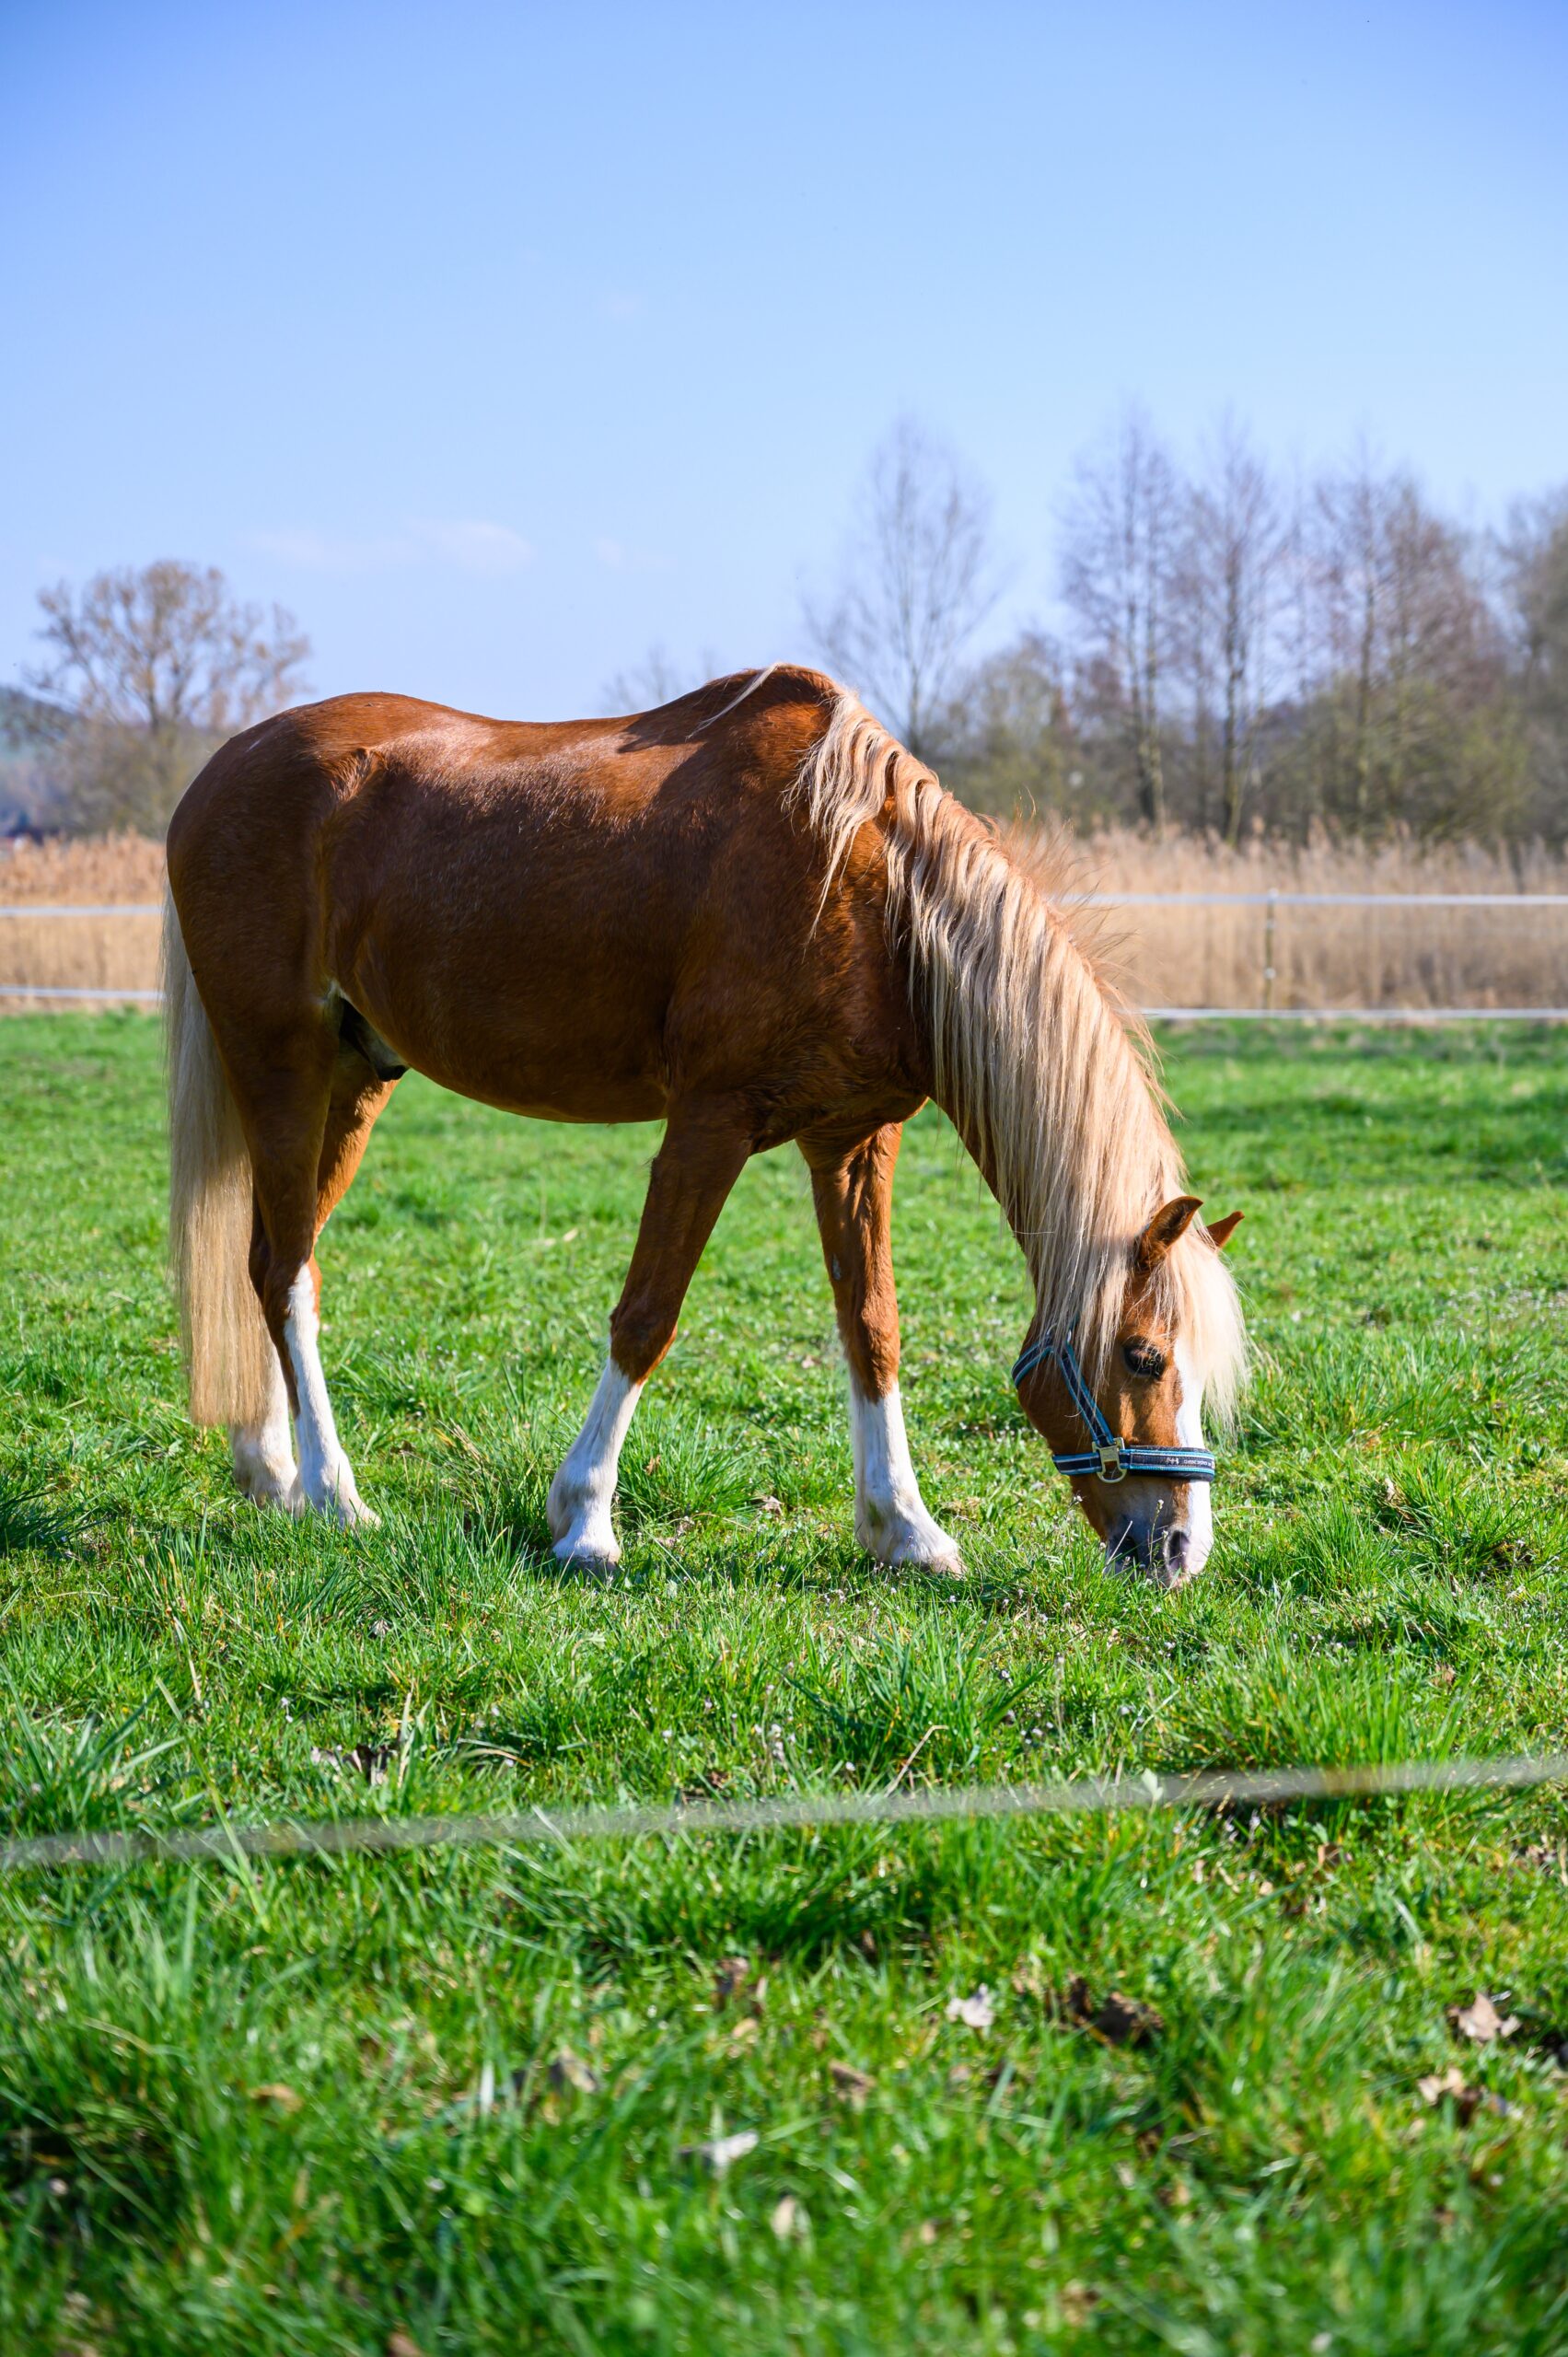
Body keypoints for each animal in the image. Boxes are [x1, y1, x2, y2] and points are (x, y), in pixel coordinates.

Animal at [163, 664, 1246, 1586]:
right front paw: (584, 1522)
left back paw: (271, 1473)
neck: (871, 894)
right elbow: (647, 1316)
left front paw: (905, 1529)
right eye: (1142, 1356)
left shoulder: (852, 1142)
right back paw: (333, 1493)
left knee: (268, 1260)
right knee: (285, 1272)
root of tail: (217, 773)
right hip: (283, 1065)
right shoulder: (707, 1125)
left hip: (356, 1078)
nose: (1179, 1549)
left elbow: (872, 1329)